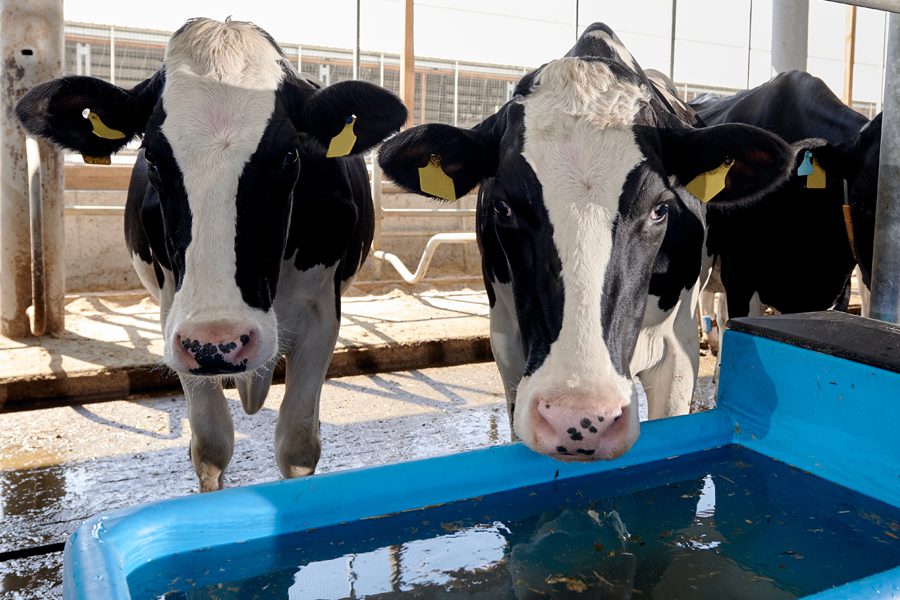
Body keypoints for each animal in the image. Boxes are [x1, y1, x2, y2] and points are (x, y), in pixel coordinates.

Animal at [16, 17, 408, 492]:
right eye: (152, 156)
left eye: (289, 155)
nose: (219, 341)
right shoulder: (175, 319)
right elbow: (210, 445)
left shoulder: (321, 314)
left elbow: (297, 444)